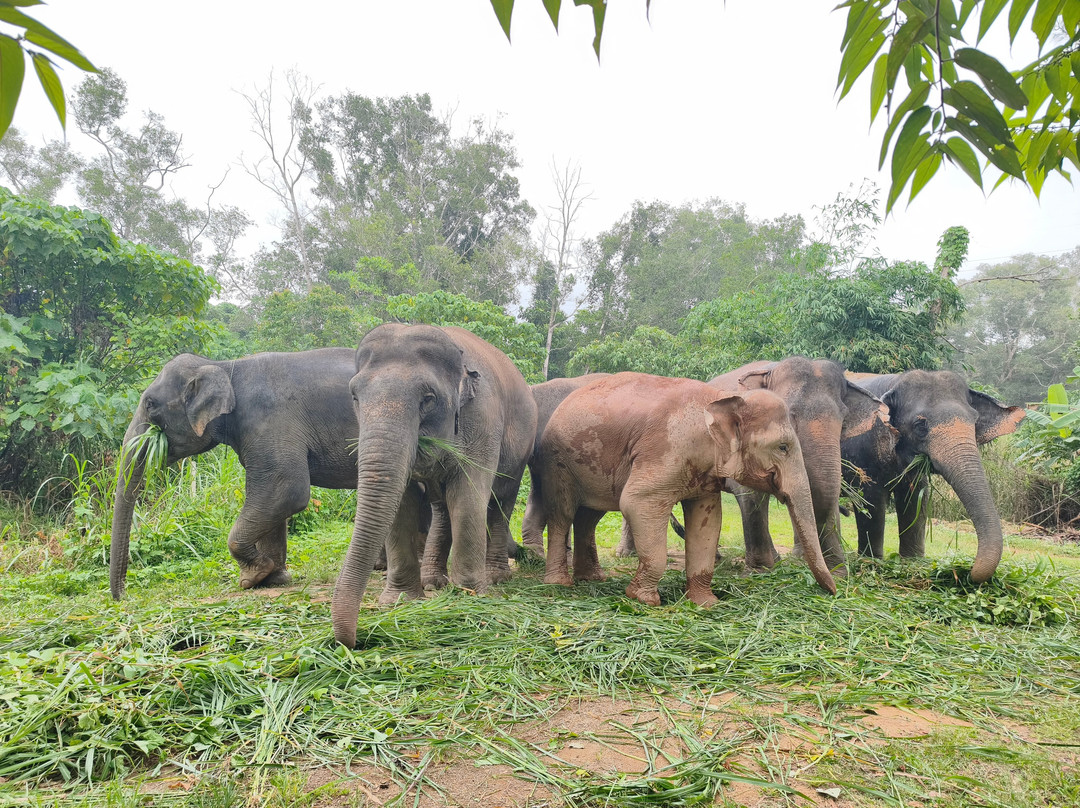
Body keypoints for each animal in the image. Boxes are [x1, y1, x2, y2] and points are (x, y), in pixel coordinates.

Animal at [110, 349, 361, 599]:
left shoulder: (269, 420)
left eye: (150, 404)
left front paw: (252, 577)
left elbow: (287, 490)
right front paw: (274, 579)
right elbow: (273, 499)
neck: (224, 366)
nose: (122, 597)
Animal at [331, 324, 536, 648]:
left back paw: (495, 577)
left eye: (427, 399)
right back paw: (433, 582)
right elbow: (402, 505)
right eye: (354, 396)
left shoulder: (483, 419)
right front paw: (400, 602)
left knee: (500, 503)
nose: (353, 641)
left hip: (520, 452)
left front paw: (469, 596)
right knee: (442, 509)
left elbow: (468, 497)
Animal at [535, 372, 837, 607]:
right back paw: (560, 584)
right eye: (783, 447)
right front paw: (642, 599)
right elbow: (636, 502)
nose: (833, 592)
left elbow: (708, 519)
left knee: (589, 516)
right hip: (557, 462)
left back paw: (592, 578)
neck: (721, 397)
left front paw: (706, 603)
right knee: (563, 514)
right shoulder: (667, 449)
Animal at [614, 358, 893, 575]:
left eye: (843, 418)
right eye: (790, 414)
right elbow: (751, 494)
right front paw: (760, 570)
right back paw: (626, 554)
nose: (839, 573)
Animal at [843, 369, 1026, 583]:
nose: (969, 571)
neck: (894, 381)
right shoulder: (862, 454)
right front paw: (871, 564)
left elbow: (915, 501)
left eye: (975, 421)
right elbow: (870, 502)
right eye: (920, 425)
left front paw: (912, 563)